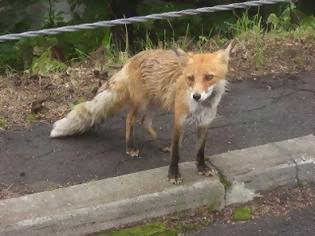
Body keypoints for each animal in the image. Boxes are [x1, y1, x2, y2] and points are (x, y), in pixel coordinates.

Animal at [49, 44, 232, 184]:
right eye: (190, 78)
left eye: (209, 77)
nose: (196, 96)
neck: (200, 107)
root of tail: (132, 58)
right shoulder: (178, 122)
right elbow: (176, 153)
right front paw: (173, 175)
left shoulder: (204, 123)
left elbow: (200, 151)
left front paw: (202, 168)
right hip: (141, 102)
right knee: (130, 119)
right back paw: (130, 147)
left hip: (155, 103)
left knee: (145, 121)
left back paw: (161, 145)